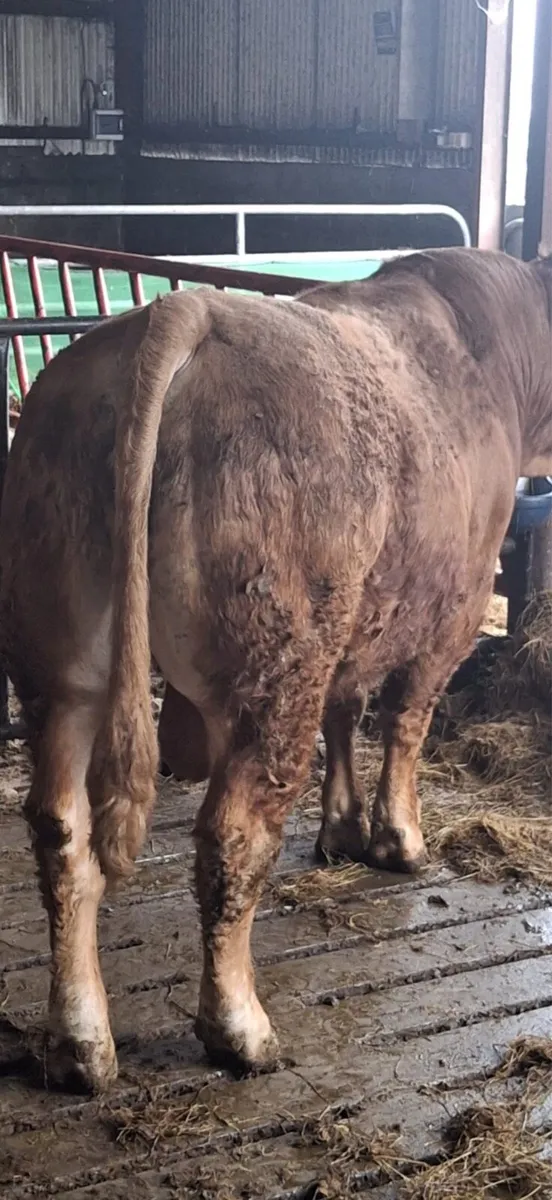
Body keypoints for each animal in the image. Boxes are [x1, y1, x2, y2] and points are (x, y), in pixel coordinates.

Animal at [0, 249, 550, 1094]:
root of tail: (181, 312)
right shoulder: (450, 616)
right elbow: (406, 722)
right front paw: (398, 840)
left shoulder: (359, 622)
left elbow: (347, 712)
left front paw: (342, 829)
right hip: (275, 667)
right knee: (233, 836)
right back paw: (240, 1029)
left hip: (59, 665)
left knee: (63, 830)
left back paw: (80, 1044)